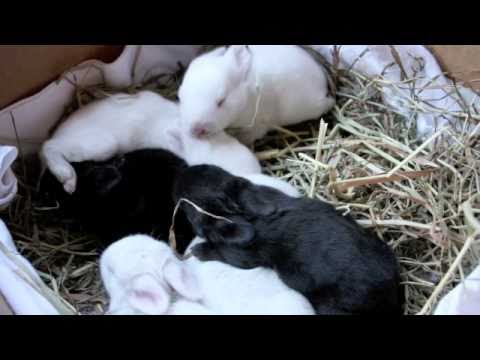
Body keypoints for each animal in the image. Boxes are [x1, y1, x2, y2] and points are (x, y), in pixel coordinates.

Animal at [173, 165, 404, 316]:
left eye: (185, 204)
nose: (183, 171)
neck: (244, 214)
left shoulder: (242, 255)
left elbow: (221, 251)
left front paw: (198, 250)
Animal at [176, 45, 334, 145]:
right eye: (180, 97)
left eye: (221, 101)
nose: (196, 130)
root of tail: (322, 77)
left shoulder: (259, 123)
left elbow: (250, 136)